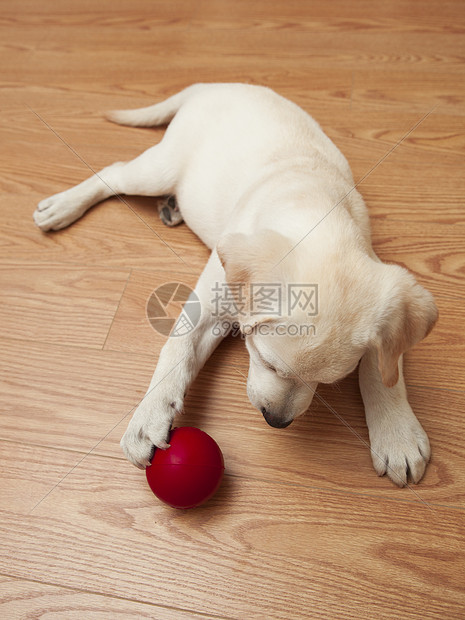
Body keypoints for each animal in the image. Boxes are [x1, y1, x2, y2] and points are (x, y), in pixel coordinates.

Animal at [34, 85, 436, 486]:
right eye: (265, 360)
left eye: (330, 381)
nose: (276, 421)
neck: (313, 203)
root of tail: (213, 85)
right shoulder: (210, 302)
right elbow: (177, 349)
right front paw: (147, 419)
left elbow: (384, 371)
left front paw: (397, 433)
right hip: (157, 169)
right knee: (114, 172)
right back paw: (63, 205)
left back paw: (170, 207)